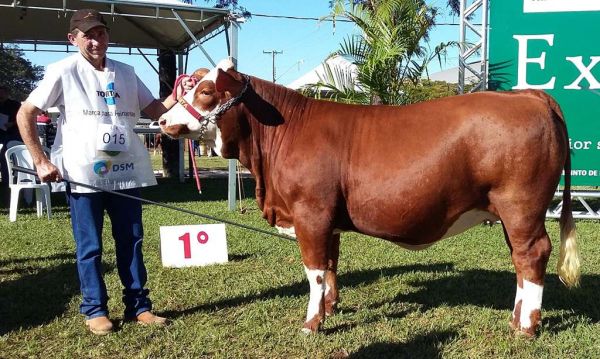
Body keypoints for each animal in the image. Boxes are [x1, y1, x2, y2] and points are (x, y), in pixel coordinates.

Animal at [159, 59, 580, 338]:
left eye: (206, 91)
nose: (163, 121)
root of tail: (529, 96)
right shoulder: (327, 220)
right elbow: (330, 264)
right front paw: (330, 308)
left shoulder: (310, 213)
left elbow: (313, 269)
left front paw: (311, 323)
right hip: (512, 213)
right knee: (520, 260)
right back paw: (515, 318)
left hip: (521, 205)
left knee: (532, 255)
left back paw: (525, 328)